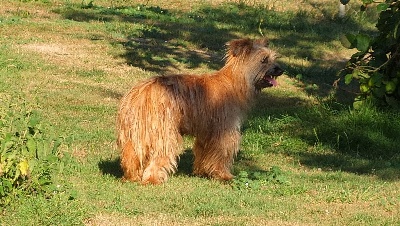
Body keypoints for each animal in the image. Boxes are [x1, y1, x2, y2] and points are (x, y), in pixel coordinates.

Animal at [117, 38, 282, 185]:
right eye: (264, 60)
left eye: (273, 58)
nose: (281, 69)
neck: (234, 82)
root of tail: (140, 93)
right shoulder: (224, 131)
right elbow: (221, 154)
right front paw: (224, 176)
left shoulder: (206, 132)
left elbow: (204, 152)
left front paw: (202, 172)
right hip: (163, 132)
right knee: (159, 154)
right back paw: (152, 179)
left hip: (136, 133)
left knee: (131, 155)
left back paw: (131, 176)